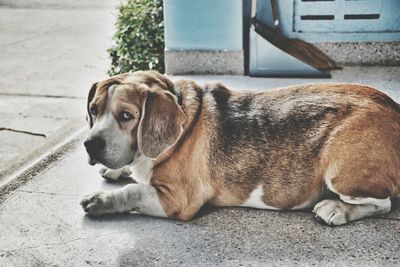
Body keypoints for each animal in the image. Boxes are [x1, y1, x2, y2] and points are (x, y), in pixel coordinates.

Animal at [79, 70, 398, 226]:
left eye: (126, 116)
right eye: (93, 110)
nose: (90, 145)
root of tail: (393, 107)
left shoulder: (178, 200)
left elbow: (133, 190)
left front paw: (101, 200)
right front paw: (116, 171)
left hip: (341, 172)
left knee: (383, 204)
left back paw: (336, 209)